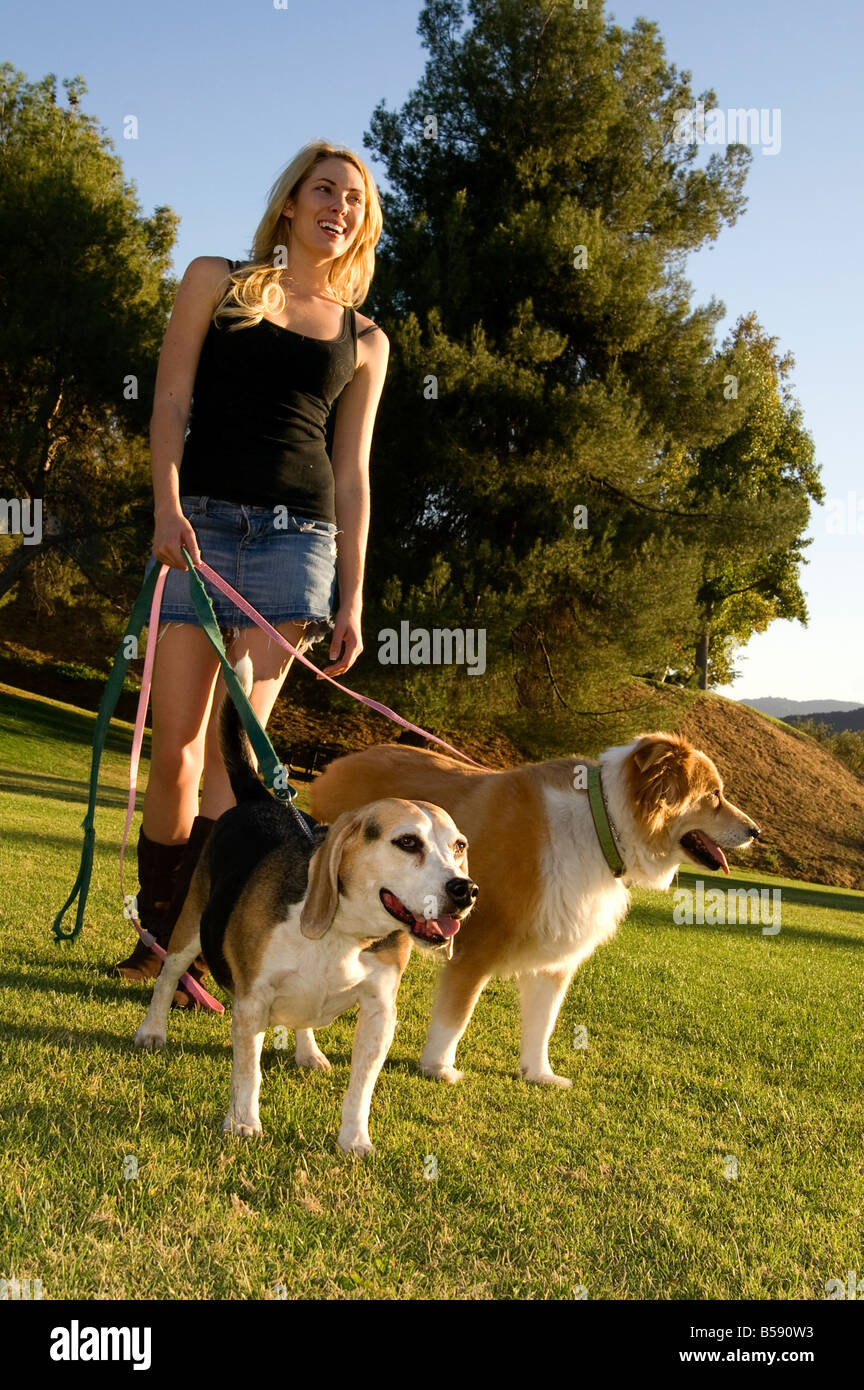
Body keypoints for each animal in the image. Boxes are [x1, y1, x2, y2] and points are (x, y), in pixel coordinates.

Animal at [134, 656, 480, 1156]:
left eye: (458, 847)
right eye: (407, 842)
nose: (465, 890)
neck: (343, 934)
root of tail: (260, 797)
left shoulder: (380, 1012)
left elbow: (361, 1088)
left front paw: (354, 1139)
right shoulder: (253, 1001)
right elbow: (248, 1072)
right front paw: (243, 1122)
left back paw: (308, 1050)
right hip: (190, 929)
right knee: (167, 976)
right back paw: (152, 1030)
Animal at [311, 733, 766, 1089]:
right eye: (714, 796)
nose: (756, 831)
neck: (601, 824)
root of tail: (336, 765)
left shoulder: (557, 956)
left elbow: (543, 1020)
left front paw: (538, 1073)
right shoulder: (475, 947)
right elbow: (457, 1016)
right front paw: (438, 1067)